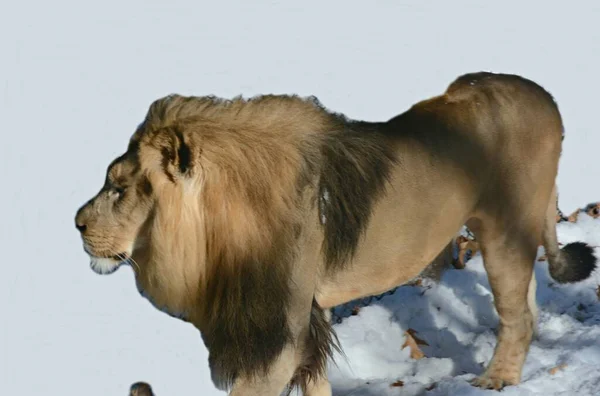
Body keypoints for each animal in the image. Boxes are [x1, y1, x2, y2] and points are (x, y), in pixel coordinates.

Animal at [75, 72, 596, 396]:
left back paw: (497, 380)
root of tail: (542, 94)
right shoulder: (306, 322)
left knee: (518, 315)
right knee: (528, 302)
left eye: (118, 189)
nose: (76, 223)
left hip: (504, 228)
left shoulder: (277, 334)